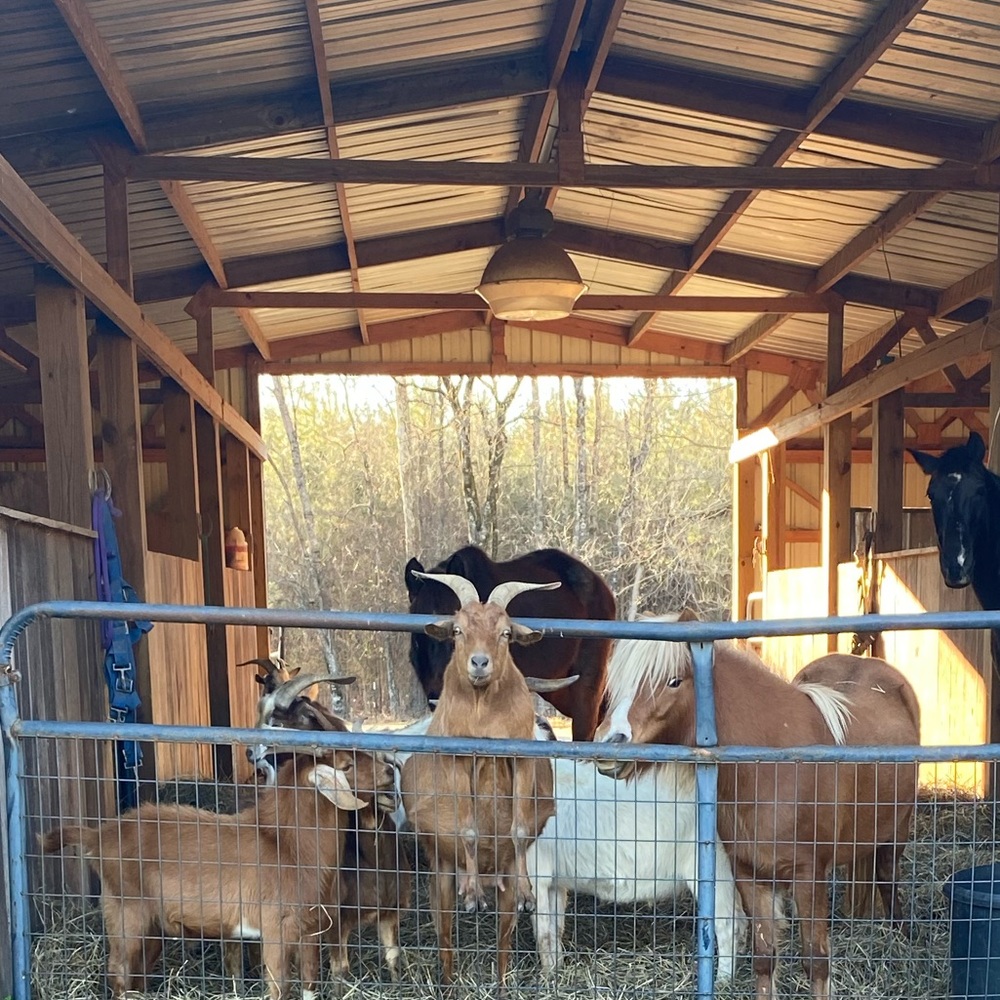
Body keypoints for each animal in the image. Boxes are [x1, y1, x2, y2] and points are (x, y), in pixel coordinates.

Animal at [39, 748, 392, 1000]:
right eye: (347, 765)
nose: (390, 770)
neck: (287, 844)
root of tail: (99, 835)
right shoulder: (275, 928)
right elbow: (280, 987)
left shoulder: (311, 928)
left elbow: (309, 984)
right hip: (125, 911)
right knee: (120, 972)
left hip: (151, 925)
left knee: (135, 974)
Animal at [249, 670, 413, 981]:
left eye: (278, 722)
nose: (253, 755)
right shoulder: (336, 921)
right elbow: (341, 970)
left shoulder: (391, 911)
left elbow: (394, 959)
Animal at [399, 571, 576, 988]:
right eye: (458, 630)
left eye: (506, 633)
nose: (479, 664)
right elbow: (468, 830)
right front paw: (472, 895)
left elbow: (519, 834)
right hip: (439, 865)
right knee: (445, 934)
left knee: (502, 937)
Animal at [526, 756, 746, 982]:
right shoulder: (553, 883)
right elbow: (555, 929)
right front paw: (556, 970)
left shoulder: (535, 876)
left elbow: (543, 933)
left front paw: (547, 977)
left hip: (715, 872)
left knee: (728, 926)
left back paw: (723, 980)